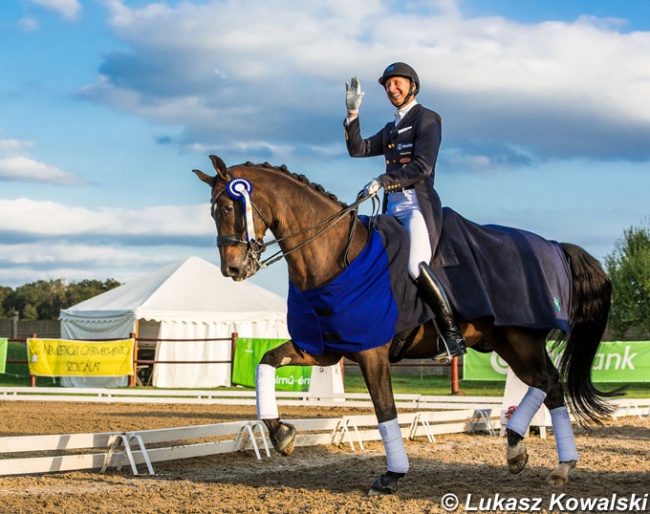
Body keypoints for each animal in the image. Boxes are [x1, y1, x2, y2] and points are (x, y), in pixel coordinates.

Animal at [190, 154, 616, 494]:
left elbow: (385, 410)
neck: (333, 256)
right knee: (550, 386)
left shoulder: (371, 352)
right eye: (212, 210)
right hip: (505, 343)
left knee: (548, 381)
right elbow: (265, 362)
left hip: (522, 339)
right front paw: (281, 434)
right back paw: (541, 459)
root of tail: (555, 246)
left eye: (227, 207)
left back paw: (531, 450)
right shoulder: (323, 350)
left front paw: (392, 475)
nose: (232, 270)